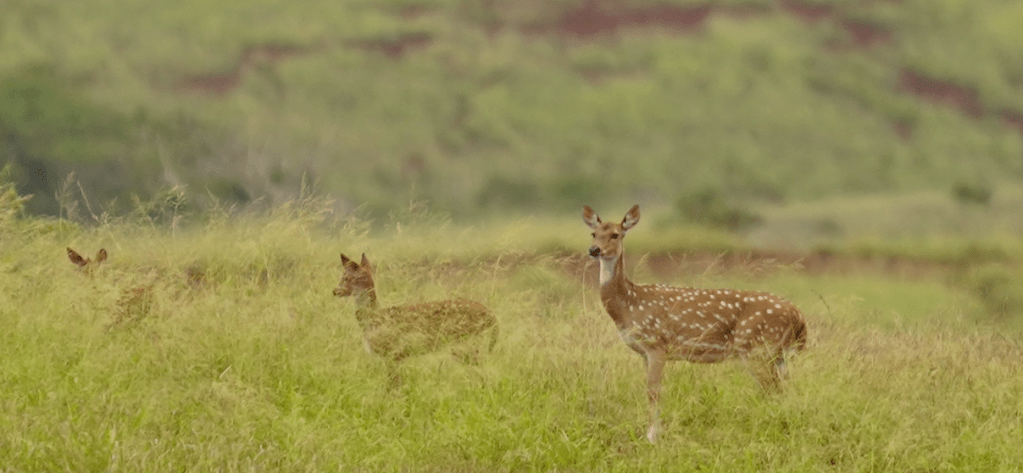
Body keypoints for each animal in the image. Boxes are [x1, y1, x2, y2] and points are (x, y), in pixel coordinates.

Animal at [333, 253, 499, 383]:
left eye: (346, 277)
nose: (335, 291)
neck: (373, 318)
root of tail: (493, 317)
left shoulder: (392, 354)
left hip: (466, 344)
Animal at [582, 205, 807, 443]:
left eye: (615, 234)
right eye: (593, 234)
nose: (594, 250)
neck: (630, 305)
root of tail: (799, 316)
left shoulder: (657, 344)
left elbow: (654, 392)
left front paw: (652, 436)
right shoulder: (644, 352)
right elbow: (650, 390)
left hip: (759, 349)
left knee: (773, 389)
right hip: (777, 355)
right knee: (783, 389)